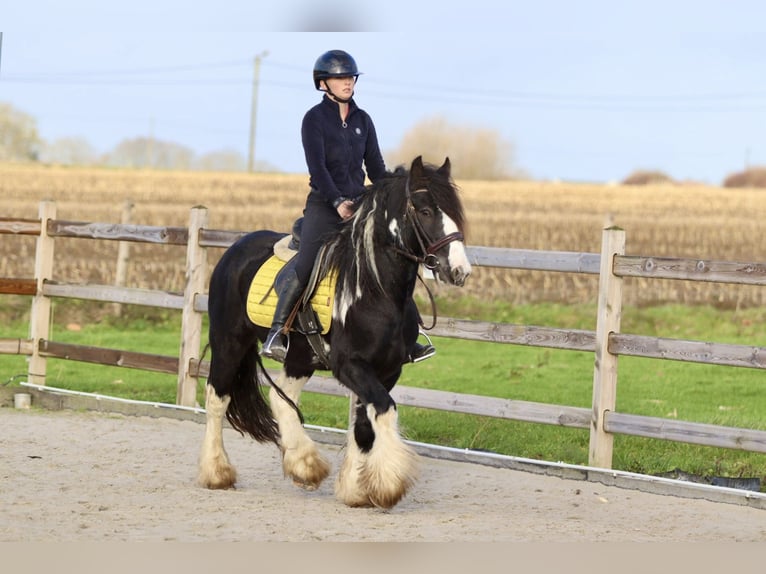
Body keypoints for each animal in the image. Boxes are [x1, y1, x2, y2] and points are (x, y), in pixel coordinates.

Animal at [196, 156, 474, 508]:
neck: (375, 289)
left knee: (281, 396)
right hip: (229, 342)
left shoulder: (387, 369)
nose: (460, 272)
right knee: (217, 398)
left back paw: (304, 466)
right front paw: (388, 484)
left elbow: (364, 424)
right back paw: (217, 473)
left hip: (300, 357)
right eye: (424, 211)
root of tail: (236, 249)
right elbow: (384, 410)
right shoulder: (350, 366)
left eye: (454, 211)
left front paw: (357, 489)